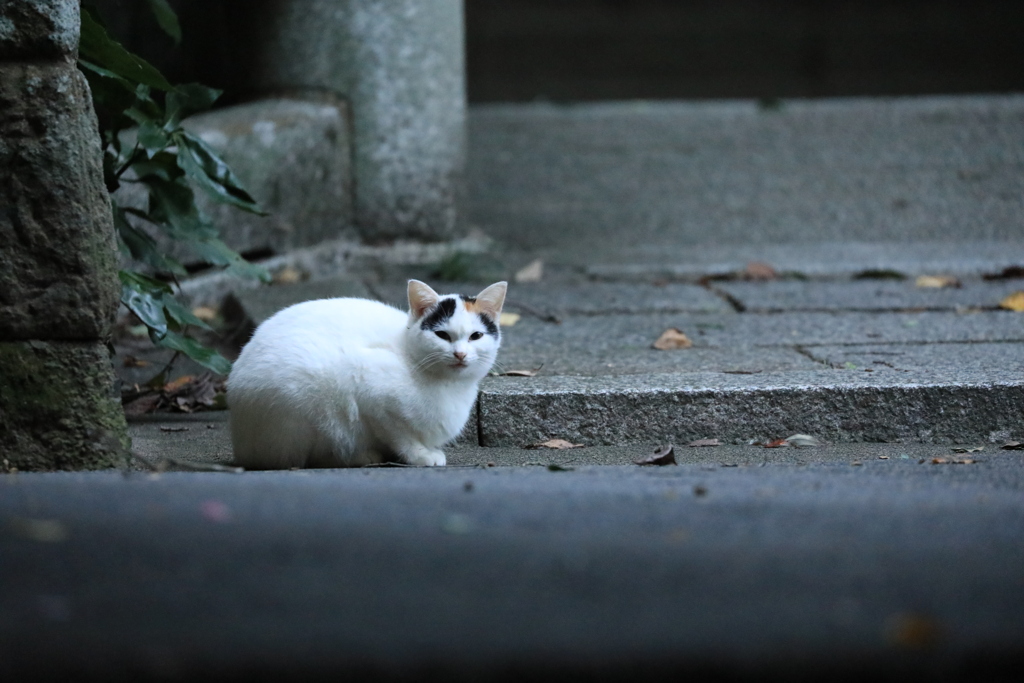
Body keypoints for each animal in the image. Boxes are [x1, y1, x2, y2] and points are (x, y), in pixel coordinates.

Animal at [229, 280, 507, 466]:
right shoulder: (374, 394)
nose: (460, 354)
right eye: (442, 335)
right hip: (307, 400)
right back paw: (359, 456)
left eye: (476, 336)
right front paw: (421, 455)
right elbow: (400, 436)